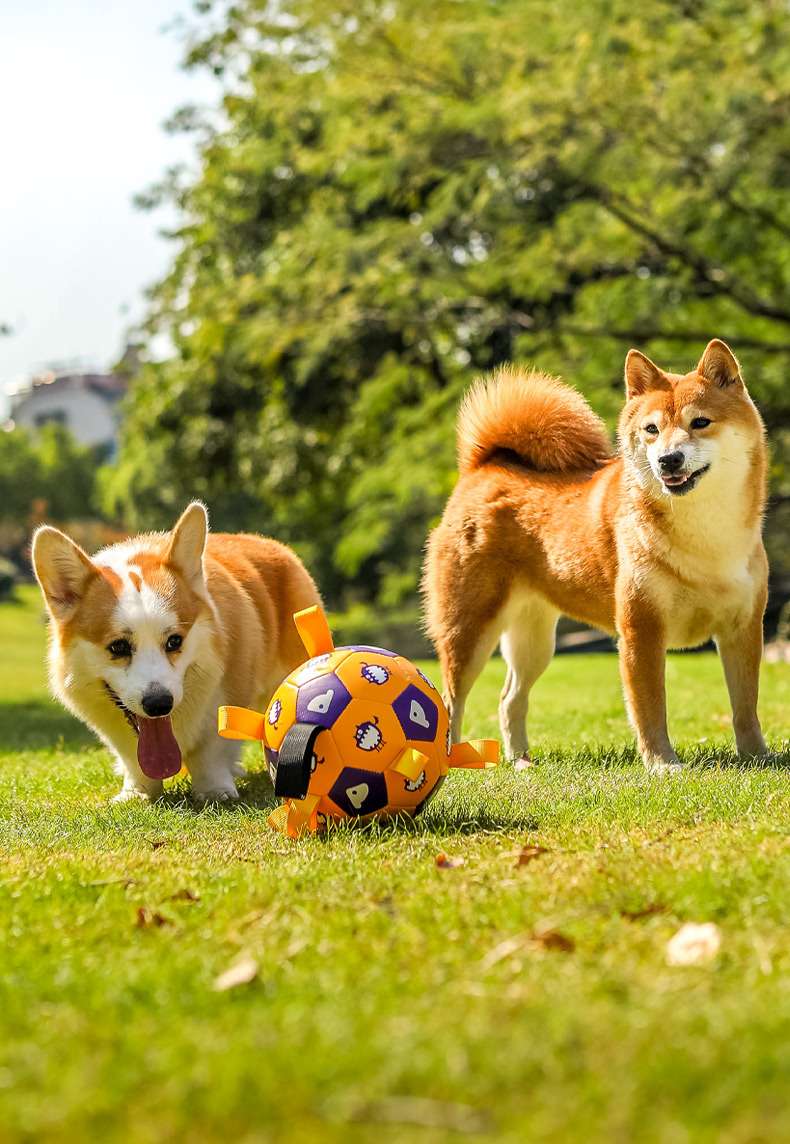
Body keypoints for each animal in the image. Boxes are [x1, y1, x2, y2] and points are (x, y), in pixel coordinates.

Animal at [30, 505, 322, 800]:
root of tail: (271, 544)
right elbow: (132, 760)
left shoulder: (227, 696)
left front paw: (215, 791)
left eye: (174, 641)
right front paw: (137, 793)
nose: (159, 704)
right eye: (118, 646)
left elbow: (211, 750)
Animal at [427, 334, 772, 773]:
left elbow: (745, 706)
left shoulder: (743, 628)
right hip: (469, 628)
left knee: (509, 699)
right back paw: (451, 761)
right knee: (451, 700)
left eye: (700, 422)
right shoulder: (641, 630)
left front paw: (758, 756)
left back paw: (522, 762)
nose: (668, 460)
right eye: (651, 429)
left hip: (534, 640)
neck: (704, 534)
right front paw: (663, 764)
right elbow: (650, 708)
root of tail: (485, 466)